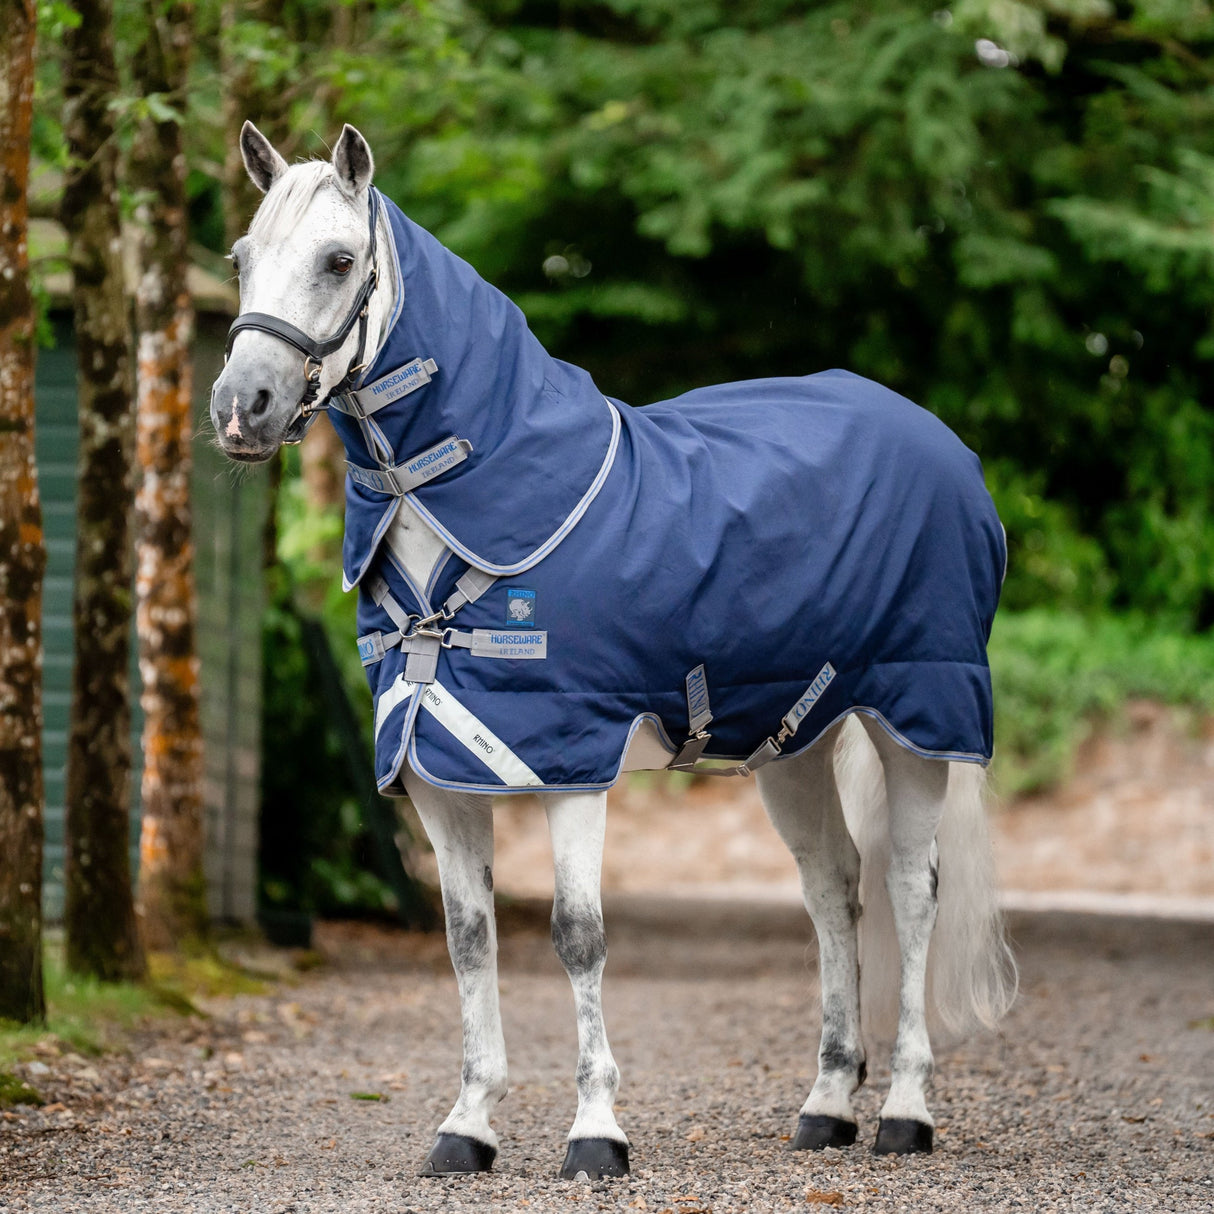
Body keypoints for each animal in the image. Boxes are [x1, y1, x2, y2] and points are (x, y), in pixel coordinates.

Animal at [210, 122, 1017, 1181]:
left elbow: (578, 936)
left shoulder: (569, 763)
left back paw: (905, 1113)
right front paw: (467, 1125)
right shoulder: (435, 770)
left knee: (910, 892)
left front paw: (595, 1131)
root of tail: (944, 446)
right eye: (242, 258)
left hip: (917, 721)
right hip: (794, 744)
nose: (242, 408)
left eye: (339, 260)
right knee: (832, 890)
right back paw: (827, 1106)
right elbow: (469, 939)